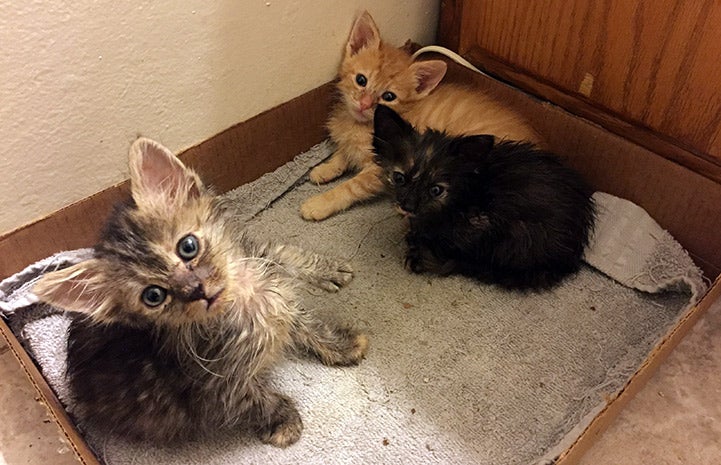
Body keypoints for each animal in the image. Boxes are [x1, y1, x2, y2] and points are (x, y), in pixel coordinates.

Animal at [31, 137, 368, 446]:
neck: (243, 298)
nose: (196, 290)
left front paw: (341, 340)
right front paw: (283, 421)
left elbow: (306, 318)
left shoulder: (273, 285)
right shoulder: (216, 388)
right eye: (153, 296)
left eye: (188, 246)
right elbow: (254, 402)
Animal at [300, 11, 544, 221]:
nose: (365, 104)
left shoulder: (384, 166)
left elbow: (352, 186)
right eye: (361, 80)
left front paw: (320, 203)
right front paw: (326, 168)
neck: (360, 123)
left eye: (389, 96)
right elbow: (344, 152)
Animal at [372, 105, 596, 290]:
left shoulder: (482, 224)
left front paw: (422, 253)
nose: (407, 206)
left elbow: (455, 249)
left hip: (522, 233)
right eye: (399, 178)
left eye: (436, 190)